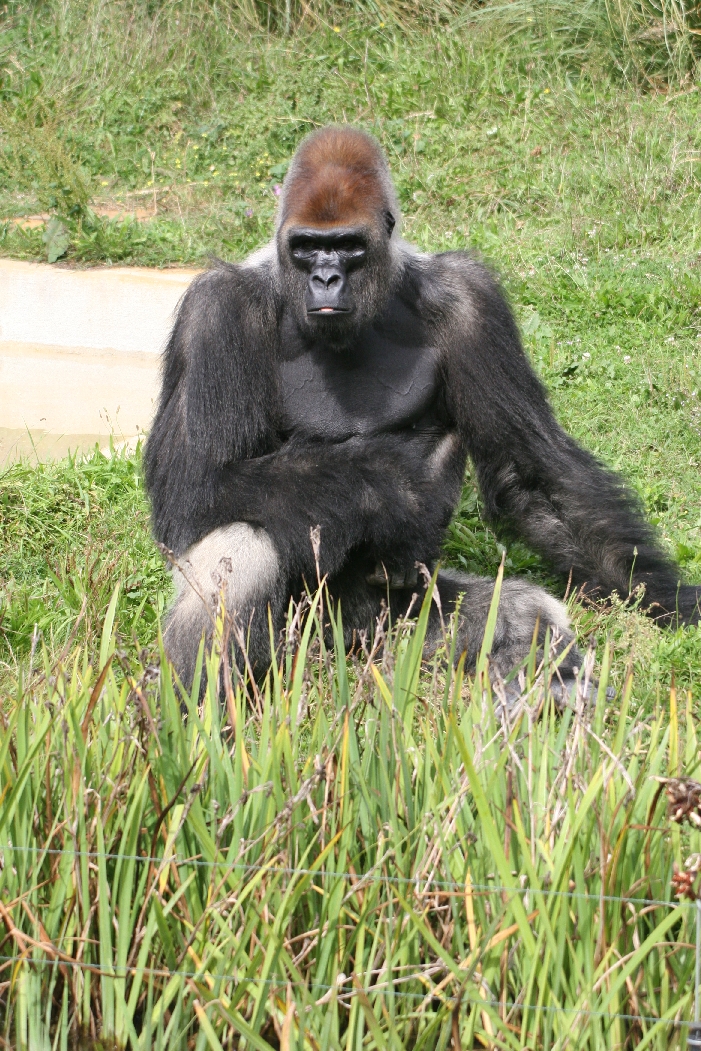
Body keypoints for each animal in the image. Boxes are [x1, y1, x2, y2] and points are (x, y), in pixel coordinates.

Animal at [144, 125, 700, 698]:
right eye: (306, 247)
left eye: (348, 246)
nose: (326, 278)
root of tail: (345, 649)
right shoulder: (214, 310)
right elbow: (194, 482)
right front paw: (386, 483)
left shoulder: (471, 298)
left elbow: (530, 471)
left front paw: (661, 596)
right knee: (240, 541)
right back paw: (197, 711)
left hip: (392, 626)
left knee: (522, 612)